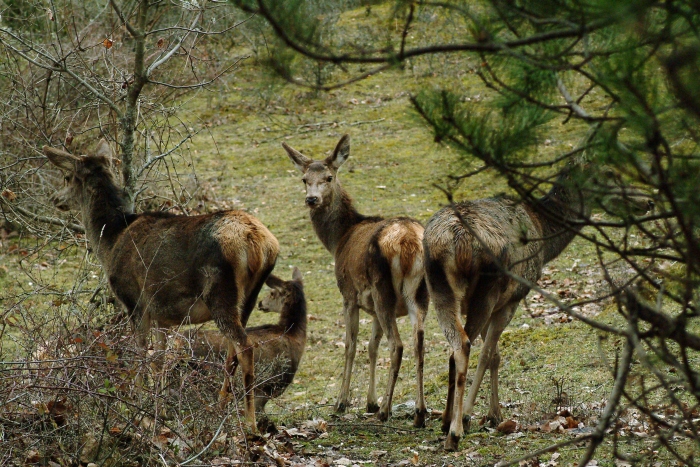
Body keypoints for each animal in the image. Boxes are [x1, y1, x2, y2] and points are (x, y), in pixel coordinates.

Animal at [42, 139, 278, 432]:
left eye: (66, 176)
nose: (55, 198)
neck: (111, 240)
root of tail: (259, 244)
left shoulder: (134, 302)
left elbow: (141, 354)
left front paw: (137, 406)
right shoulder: (163, 315)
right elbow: (161, 359)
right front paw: (161, 409)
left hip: (220, 292)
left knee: (244, 346)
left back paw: (248, 423)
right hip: (247, 298)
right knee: (233, 349)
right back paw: (220, 407)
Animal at [282, 134, 430, 428]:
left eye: (329, 177)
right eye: (304, 178)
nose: (312, 199)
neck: (339, 239)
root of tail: (409, 243)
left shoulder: (349, 295)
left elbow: (351, 345)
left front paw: (342, 402)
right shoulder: (372, 308)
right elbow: (372, 347)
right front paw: (370, 402)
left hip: (383, 289)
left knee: (397, 345)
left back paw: (386, 411)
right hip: (419, 294)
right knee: (419, 342)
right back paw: (419, 412)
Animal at [422, 166, 592, 452]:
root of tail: (461, 239)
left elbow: (494, 355)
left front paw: (492, 413)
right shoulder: (510, 300)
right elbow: (490, 354)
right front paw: (478, 415)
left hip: (438, 286)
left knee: (455, 346)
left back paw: (447, 423)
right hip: (488, 288)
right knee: (467, 345)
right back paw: (456, 430)